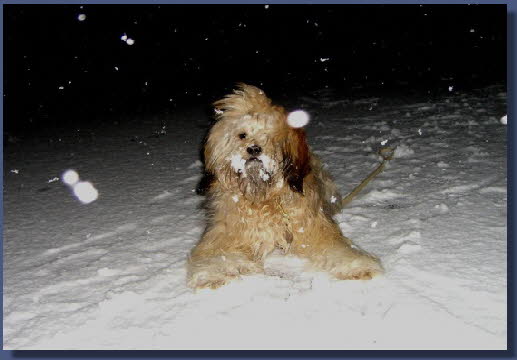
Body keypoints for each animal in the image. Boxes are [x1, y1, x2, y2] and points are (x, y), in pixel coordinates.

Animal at [187, 84, 380, 290]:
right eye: (242, 135)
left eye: (270, 136)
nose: (254, 149)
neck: (261, 196)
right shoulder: (225, 231)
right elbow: (216, 254)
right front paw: (211, 274)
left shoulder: (311, 226)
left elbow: (335, 247)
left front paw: (357, 265)